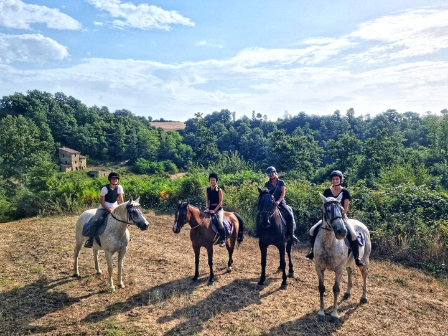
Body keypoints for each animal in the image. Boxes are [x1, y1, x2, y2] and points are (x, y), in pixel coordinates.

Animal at [312, 194, 372, 322]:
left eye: (341, 209)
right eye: (328, 210)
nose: (342, 232)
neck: (328, 243)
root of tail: (362, 225)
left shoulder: (339, 269)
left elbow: (336, 289)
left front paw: (334, 315)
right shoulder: (319, 267)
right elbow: (321, 288)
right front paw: (321, 313)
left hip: (365, 260)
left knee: (364, 275)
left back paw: (364, 297)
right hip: (348, 262)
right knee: (349, 271)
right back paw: (348, 292)